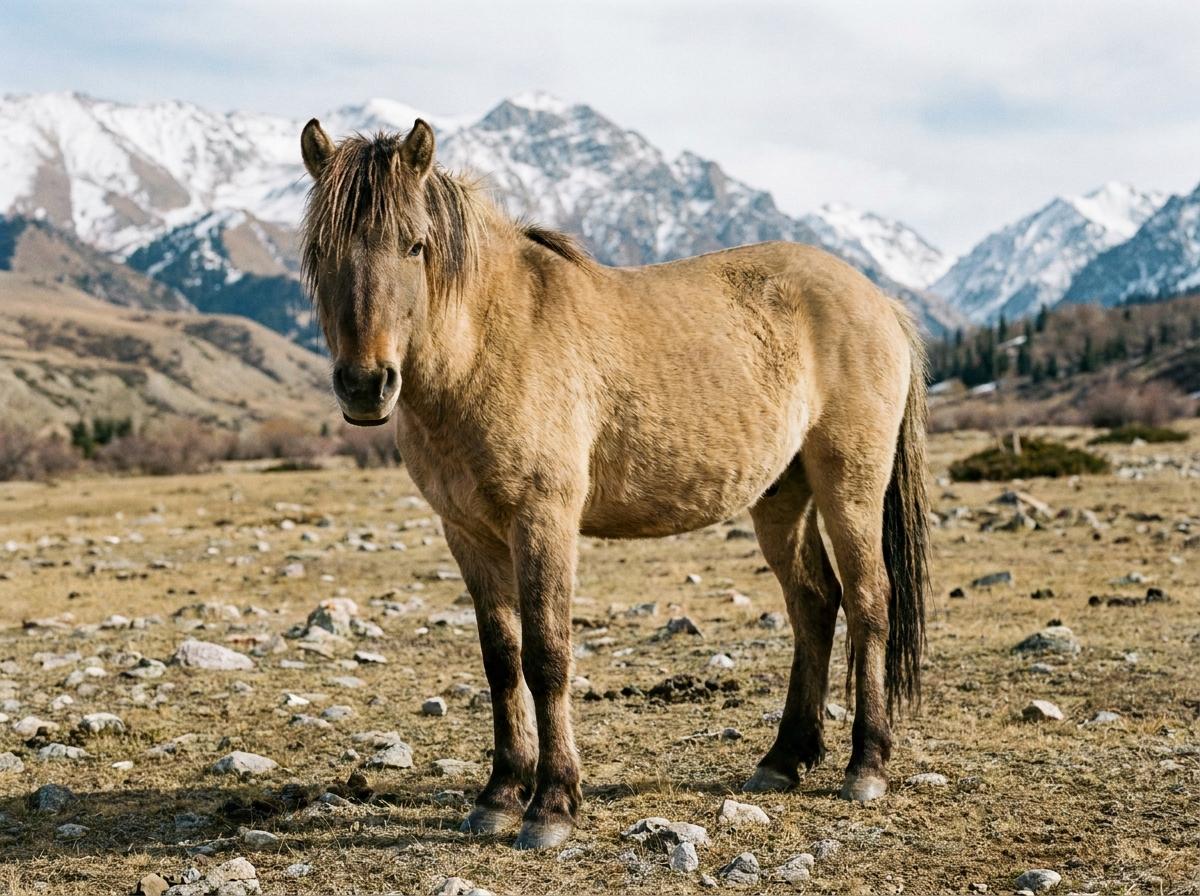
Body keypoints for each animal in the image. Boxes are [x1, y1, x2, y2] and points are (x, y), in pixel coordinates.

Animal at [298, 117, 930, 850]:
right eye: (320, 250)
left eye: (415, 244)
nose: (365, 385)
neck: (485, 345)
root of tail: (879, 299)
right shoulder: (468, 534)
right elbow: (500, 660)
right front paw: (499, 795)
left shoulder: (542, 521)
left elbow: (546, 656)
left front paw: (551, 804)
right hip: (781, 497)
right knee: (814, 603)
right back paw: (783, 758)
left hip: (849, 487)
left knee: (868, 602)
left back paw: (867, 765)